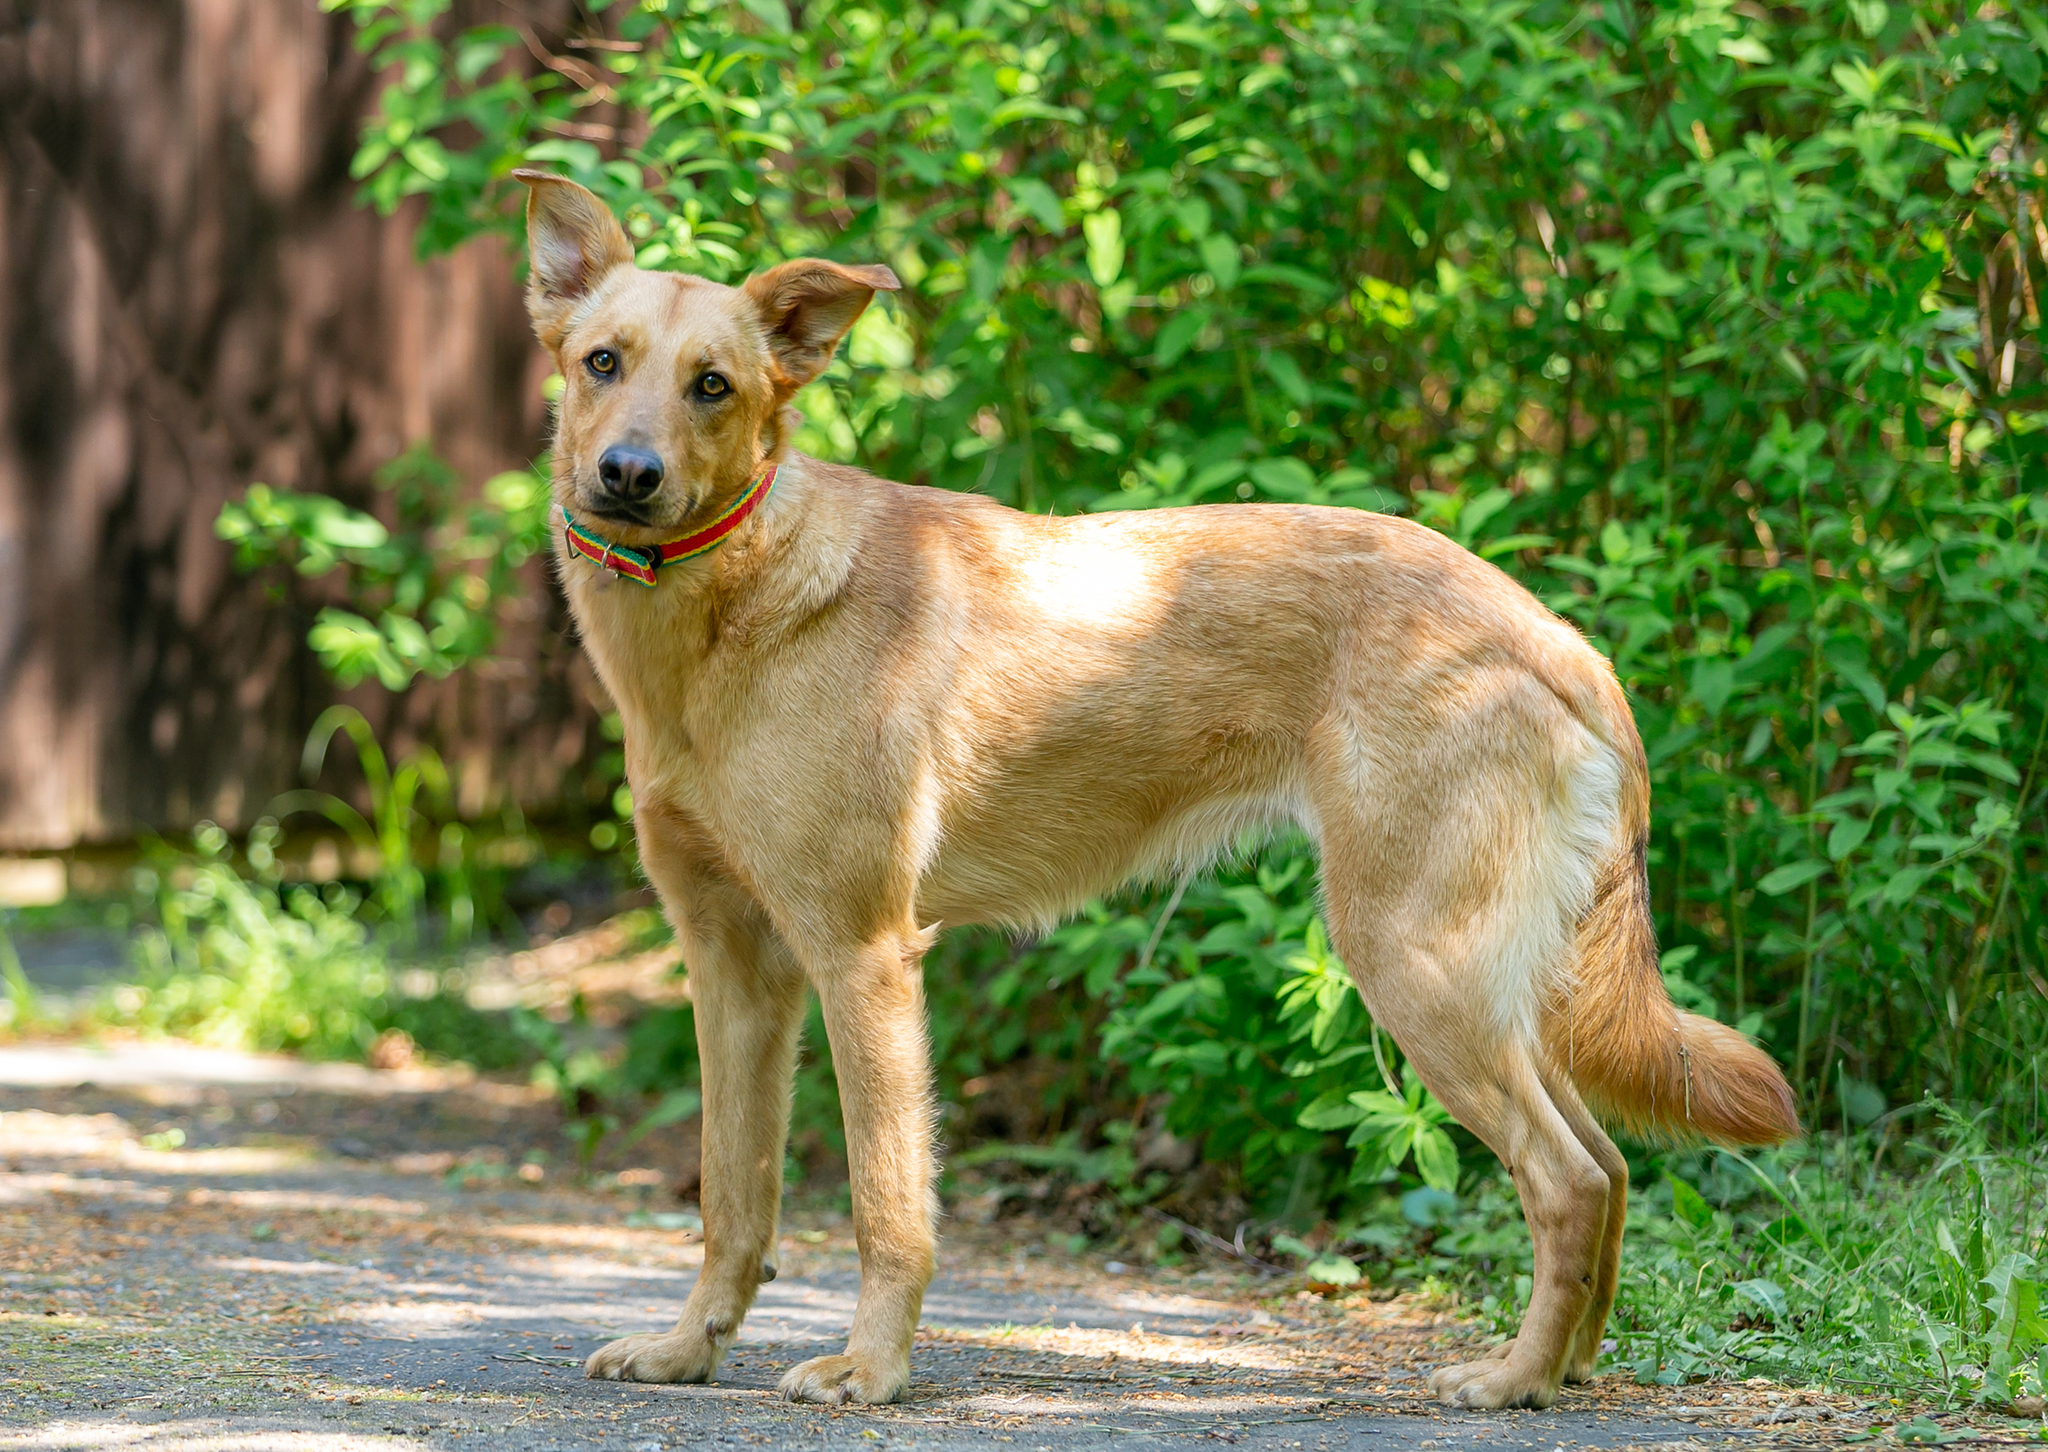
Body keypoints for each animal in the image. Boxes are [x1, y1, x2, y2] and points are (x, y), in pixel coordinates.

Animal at [512, 166, 1794, 1400]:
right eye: (602, 363)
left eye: (713, 386)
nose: (626, 475)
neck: (725, 610)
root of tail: (1555, 637)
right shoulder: (734, 966)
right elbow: (730, 1197)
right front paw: (687, 1351)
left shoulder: (859, 955)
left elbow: (886, 1207)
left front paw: (869, 1372)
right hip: (1483, 979)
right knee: (1610, 1166)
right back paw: (1566, 1366)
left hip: (1415, 962)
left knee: (1566, 1177)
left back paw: (1511, 1381)